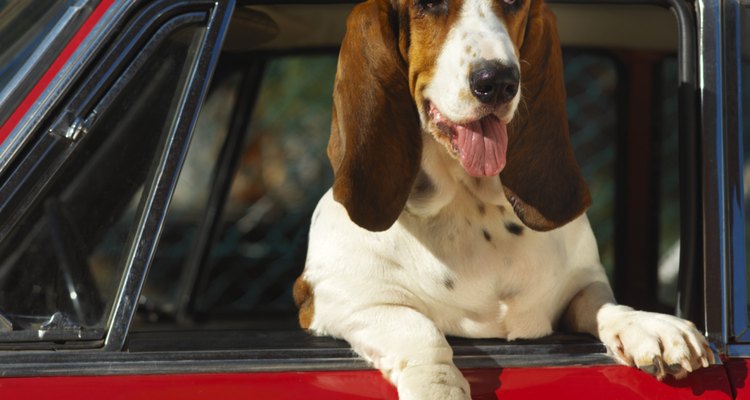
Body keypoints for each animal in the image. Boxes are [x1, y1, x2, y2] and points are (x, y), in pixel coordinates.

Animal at [294, 0, 716, 396]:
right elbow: (421, 330)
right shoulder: (335, 300)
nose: (497, 80)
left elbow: (604, 304)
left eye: (513, 2)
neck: (470, 204)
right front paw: (439, 387)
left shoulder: (583, 283)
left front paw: (650, 326)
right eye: (428, 4)